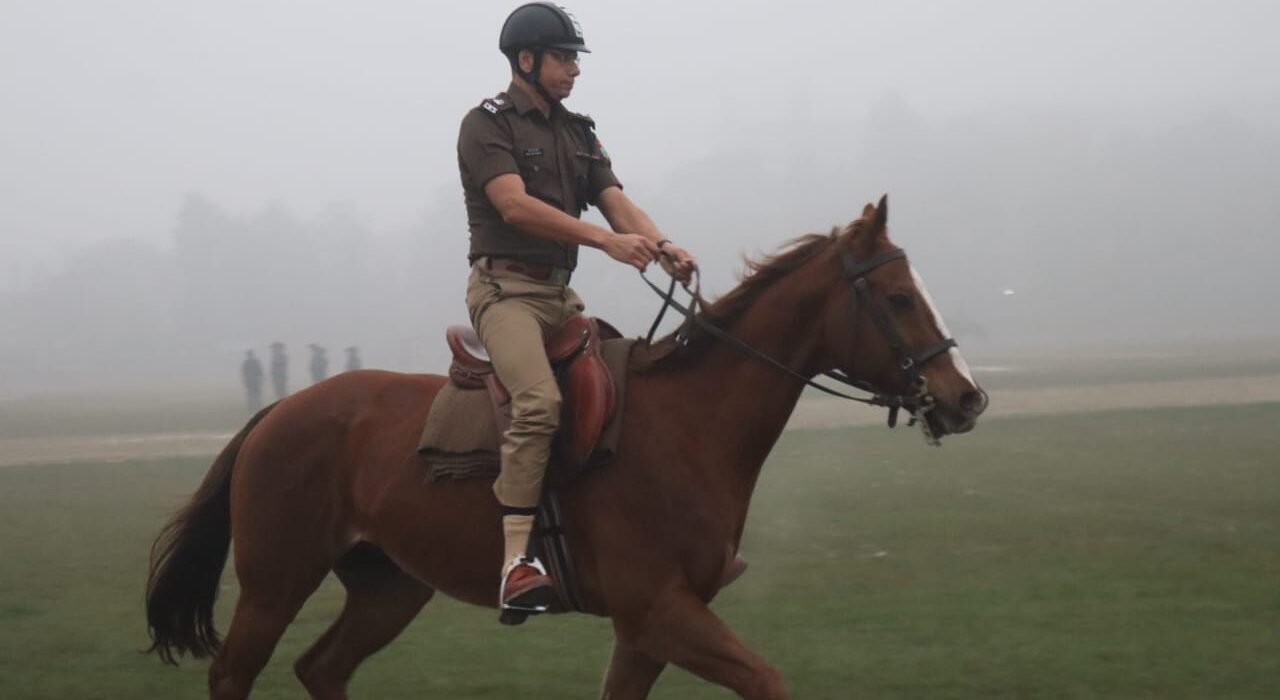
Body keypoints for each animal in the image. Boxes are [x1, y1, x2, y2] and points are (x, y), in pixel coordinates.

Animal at [145, 196, 988, 699]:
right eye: (898, 298)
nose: (966, 396)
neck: (687, 425)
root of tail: (279, 410)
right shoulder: (661, 612)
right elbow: (769, 681)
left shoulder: (647, 630)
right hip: (274, 584)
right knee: (234, 673)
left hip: (389, 588)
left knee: (322, 668)